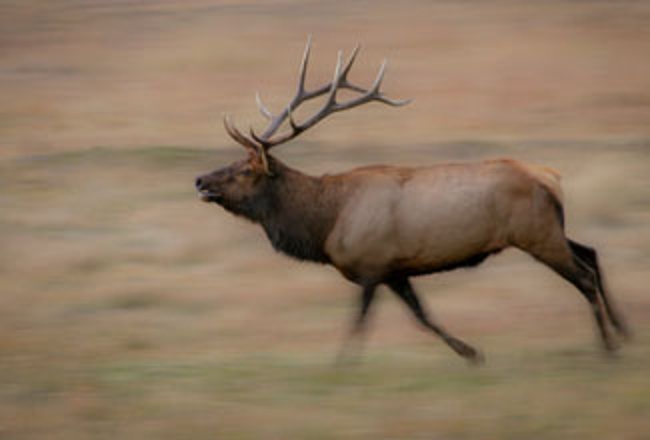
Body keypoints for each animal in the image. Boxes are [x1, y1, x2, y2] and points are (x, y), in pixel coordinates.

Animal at [194, 37, 628, 362]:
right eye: (233, 161)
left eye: (245, 170)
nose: (200, 180)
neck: (325, 223)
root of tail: (550, 177)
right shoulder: (394, 269)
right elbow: (423, 316)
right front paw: (471, 353)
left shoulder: (371, 263)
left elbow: (360, 322)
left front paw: (341, 367)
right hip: (551, 228)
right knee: (591, 253)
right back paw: (625, 331)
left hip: (536, 234)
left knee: (584, 275)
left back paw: (608, 347)